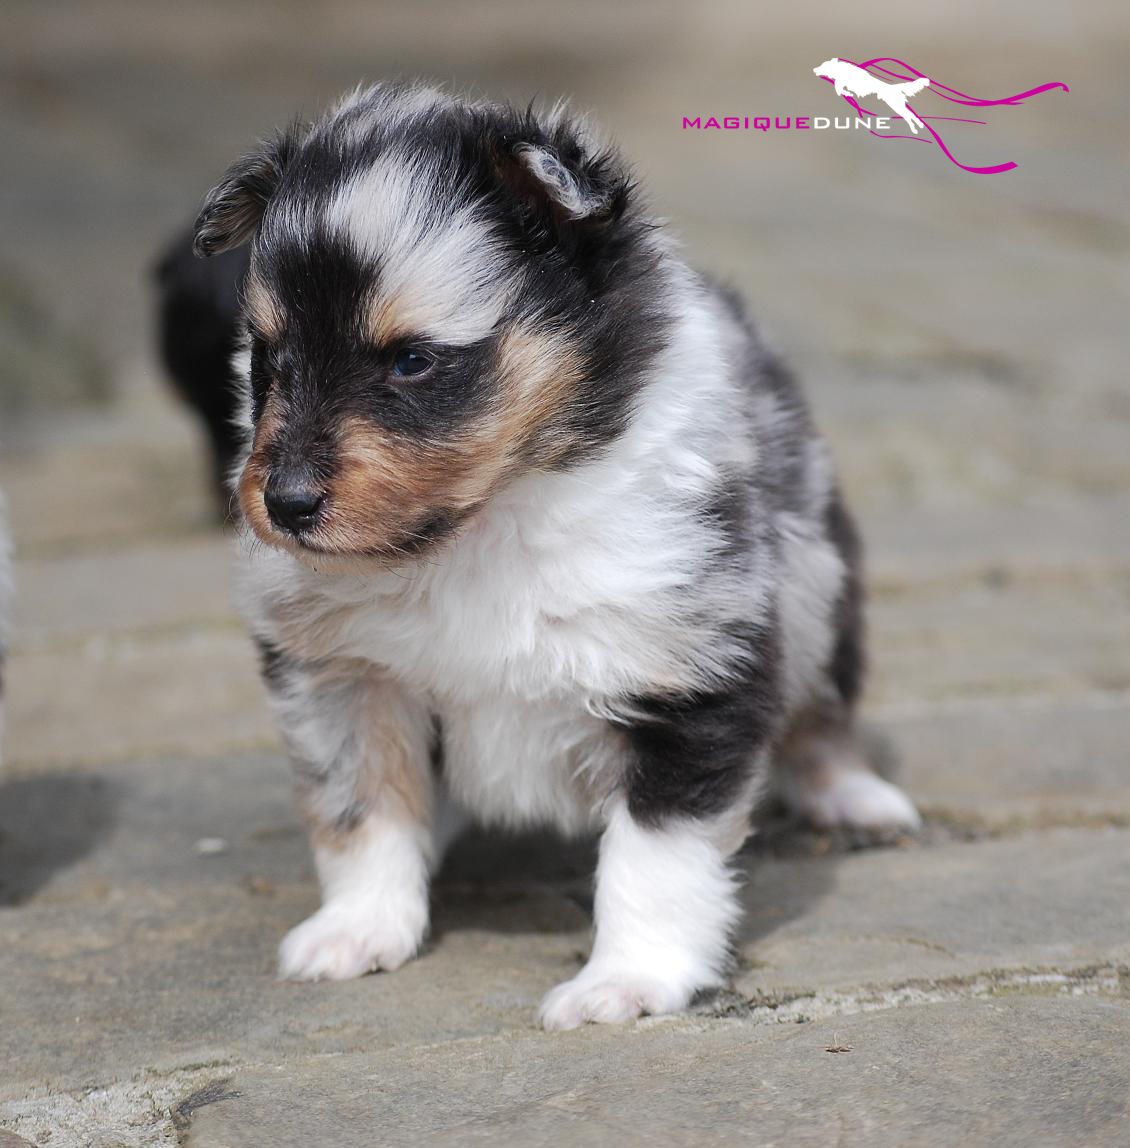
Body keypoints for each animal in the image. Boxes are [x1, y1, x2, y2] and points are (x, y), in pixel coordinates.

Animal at [193, 82, 920, 1029]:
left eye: (412, 361)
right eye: (269, 358)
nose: (284, 503)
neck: (483, 525)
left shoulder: (690, 667)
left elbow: (655, 859)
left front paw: (624, 983)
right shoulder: (341, 676)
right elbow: (362, 808)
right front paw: (357, 931)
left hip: (820, 583)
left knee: (823, 712)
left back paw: (858, 799)